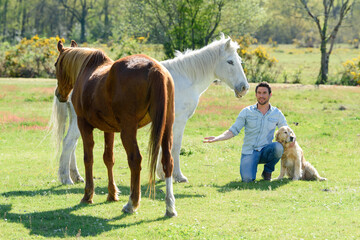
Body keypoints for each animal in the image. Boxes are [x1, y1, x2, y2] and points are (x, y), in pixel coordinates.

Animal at [50, 33, 248, 184]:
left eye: (239, 60)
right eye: (230, 62)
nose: (244, 87)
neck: (184, 77)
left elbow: (162, 145)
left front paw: (162, 173)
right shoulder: (179, 120)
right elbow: (175, 146)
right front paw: (178, 176)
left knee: (73, 144)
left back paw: (76, 176)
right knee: (68, 142)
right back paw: (66, 178)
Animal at [54, 40, 176, 217]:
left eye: (56, 64)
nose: (58, 94)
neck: (87, 70)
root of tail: (154, 68)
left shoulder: (84, 125)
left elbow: (88, 158)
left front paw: (88, 195)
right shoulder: (109, 129)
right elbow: (108, 159)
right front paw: (112, 194)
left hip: (128, 130)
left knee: (135, 160)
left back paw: (132, 203)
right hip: (167, 127)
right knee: (167, 161)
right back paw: (170, 206)